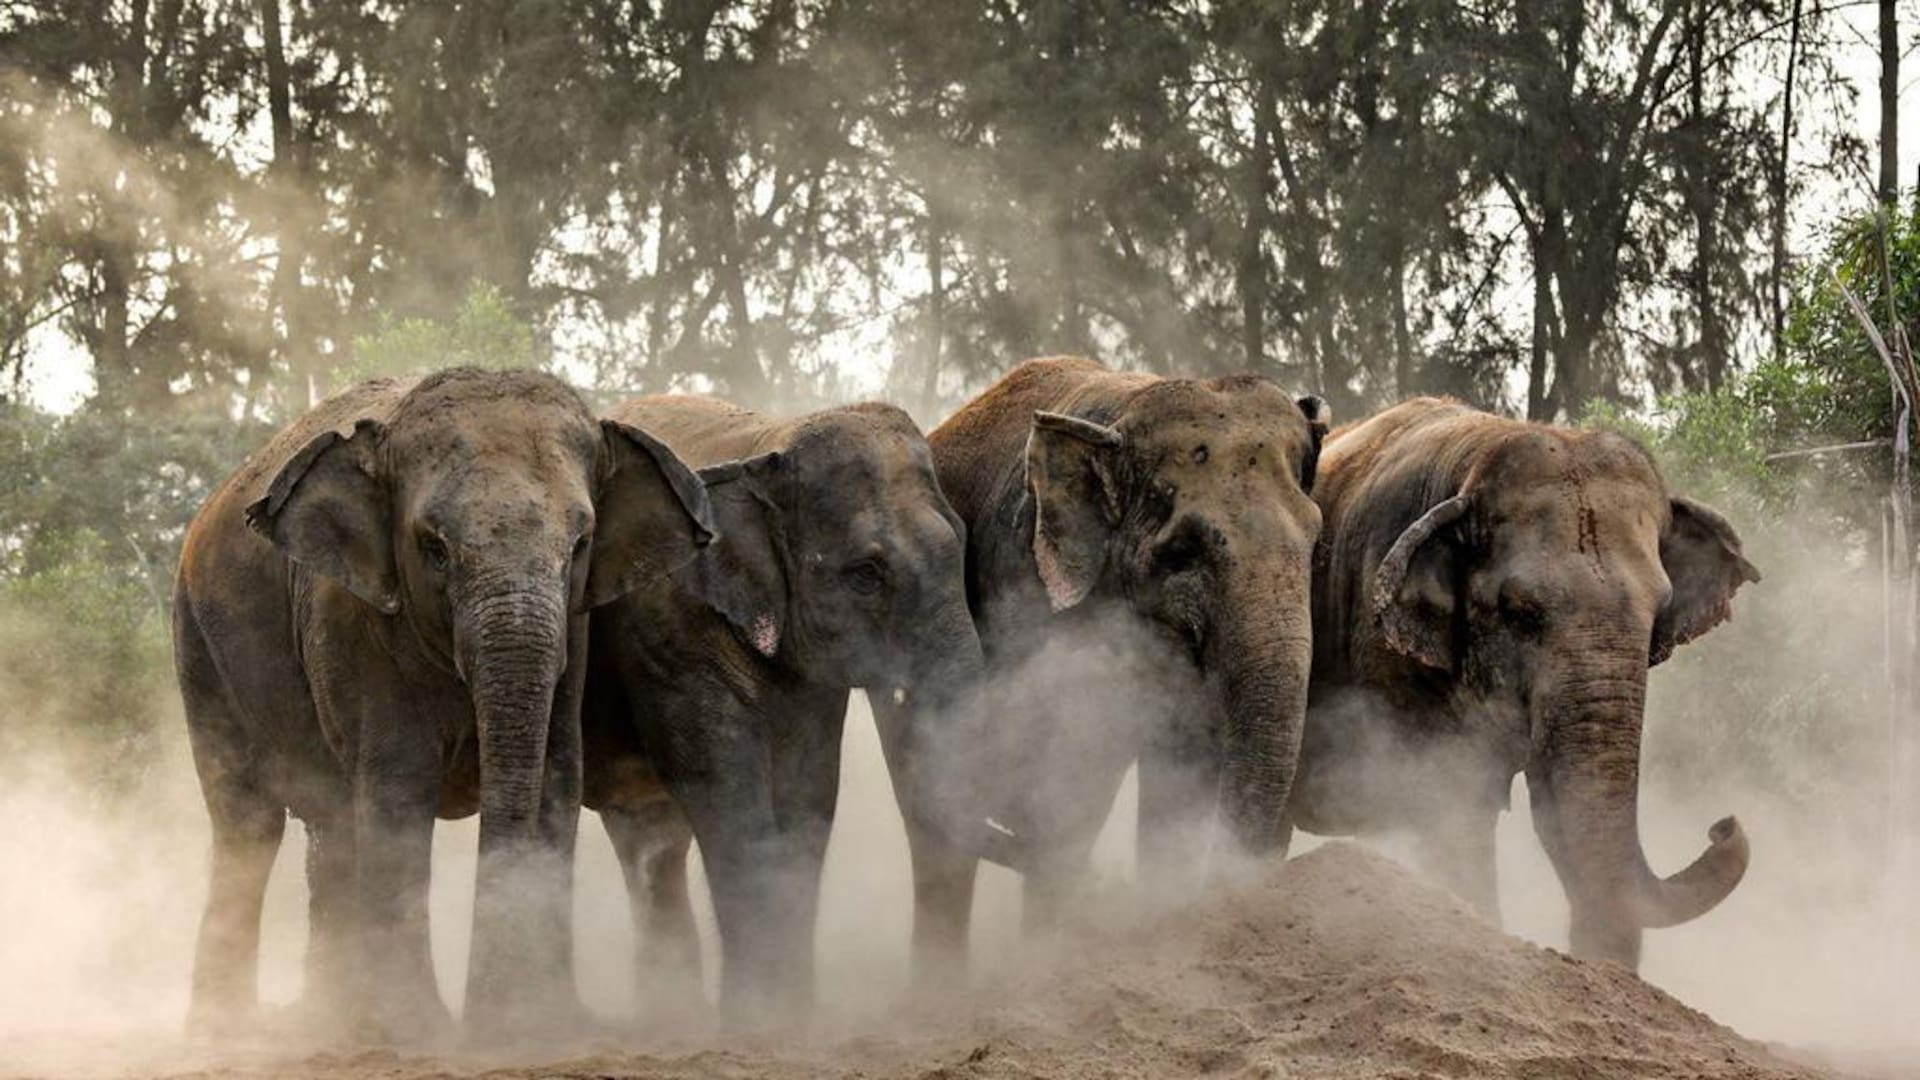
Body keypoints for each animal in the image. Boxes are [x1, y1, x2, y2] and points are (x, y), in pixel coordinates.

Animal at [172, 368, 719, 1041]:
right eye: (433, 548)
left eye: (581, 545)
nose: (482, 1014)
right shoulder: (350, 618)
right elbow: (397, 787)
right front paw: (422, 1030)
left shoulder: (575, 631)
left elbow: (557, 779)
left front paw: (542, 1022)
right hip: (197, 642)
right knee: (248, 825)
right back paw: (231, 1030)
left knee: (329, 821)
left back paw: (334, 1020)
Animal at [580, 394, 983, 1025]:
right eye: (867, 574)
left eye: (963, 542)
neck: (766, 448)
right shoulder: (671, 636)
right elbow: (730, 800)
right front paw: (759, 1022)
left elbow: (809, 799)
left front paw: (793, 1015)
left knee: (648, 842)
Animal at [1290, 397, 1759, 970]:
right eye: (1521, 614)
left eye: (1660, 614)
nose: (1723, 824)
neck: (1474, 462)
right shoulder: (1381, 644)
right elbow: (1451, 805)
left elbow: (1548, 809)